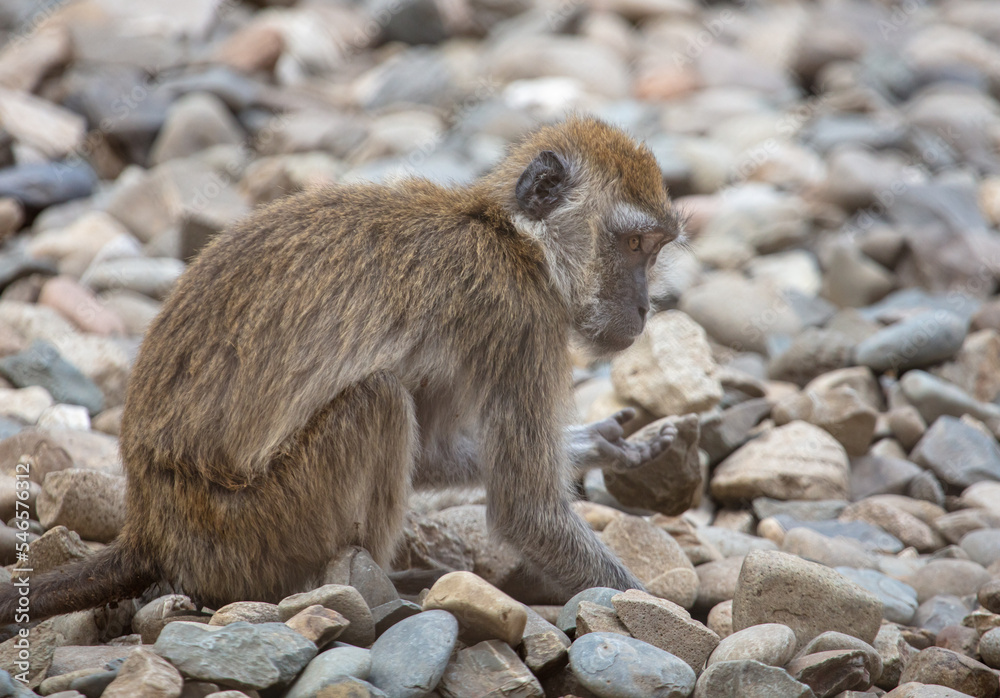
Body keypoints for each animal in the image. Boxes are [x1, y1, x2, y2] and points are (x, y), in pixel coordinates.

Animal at [0, 117, 680, 624]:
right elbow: (526, 511)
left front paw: (595, 446)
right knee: (377, 400)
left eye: (654, 251)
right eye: (633, 246)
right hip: (252, 533)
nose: (645, 307)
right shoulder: (520, 321)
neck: (511, 237)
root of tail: (150, 523)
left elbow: (436, 448)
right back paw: (367, 591)